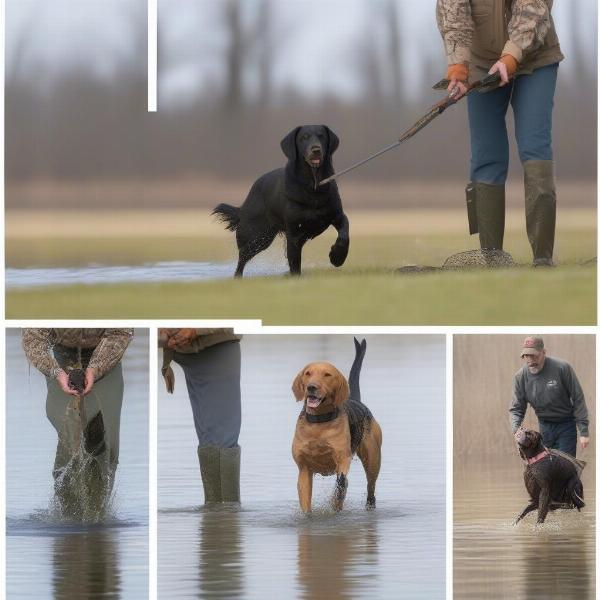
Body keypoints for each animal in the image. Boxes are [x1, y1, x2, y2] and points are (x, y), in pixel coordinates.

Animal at [213, 126, 350, 278]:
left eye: (322, 136)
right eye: (304, 137)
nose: (316, 149)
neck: (313, 185)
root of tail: (244, 205)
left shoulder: (338, 216)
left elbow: (344, 235)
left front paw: (337, 257)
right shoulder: (294, 232)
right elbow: (294, 262)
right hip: (254, 236)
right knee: (241, 260)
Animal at [292, 340, 384, 512]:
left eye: (327, 375)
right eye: (308, 373)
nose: (311, 387)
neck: (319, 423)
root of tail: (355, 399)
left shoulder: (343, 458)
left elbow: (341, 484)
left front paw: (336, 501)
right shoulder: (304, 470)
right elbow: (305, 503)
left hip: (373, 460)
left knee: (371, 488)